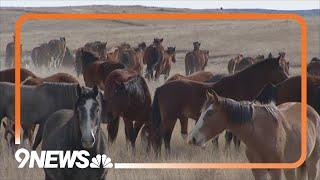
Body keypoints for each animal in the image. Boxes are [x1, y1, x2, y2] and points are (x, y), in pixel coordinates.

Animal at [151, 55, 288, 154]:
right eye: (280, 68)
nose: (287, 79)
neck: (240, 85)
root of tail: (161, 88)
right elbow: (231, 137)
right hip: (170, 117)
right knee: (163, 135)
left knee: (161, 135)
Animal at [189, 91, 318, 180]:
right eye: (201, 112)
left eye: (210, 113)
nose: (192, 139)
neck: (261, 135)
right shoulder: (257, 170)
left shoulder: (276, 170)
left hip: (312, 162)